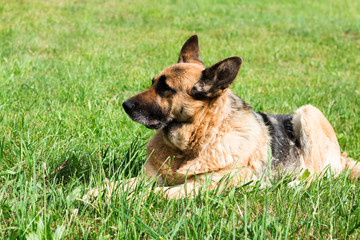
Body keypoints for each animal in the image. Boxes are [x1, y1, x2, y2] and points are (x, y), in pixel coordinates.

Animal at [105, 34, 358, 199]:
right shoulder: (147, 178)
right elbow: (114, 185)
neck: (194, 144)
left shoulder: (204, 185)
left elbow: (156, 194)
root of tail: (342, 157)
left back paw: (291, 184)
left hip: (308, 113)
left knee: (319, 176)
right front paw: (98, 193)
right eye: (152, 83)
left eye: (165, 88)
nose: (125, 105)